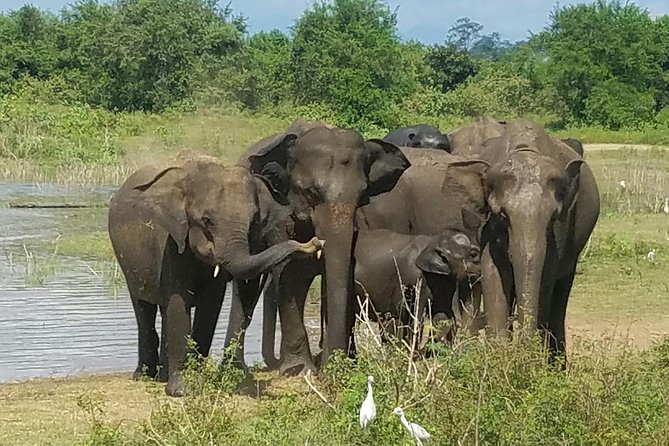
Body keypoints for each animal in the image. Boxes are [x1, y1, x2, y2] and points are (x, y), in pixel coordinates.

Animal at [108, 153, 323, 396]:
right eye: (206, 221)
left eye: (253, 221)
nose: (315, 243)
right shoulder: (170, 241)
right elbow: (179, 301)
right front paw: (182, 391)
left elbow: (210, 305)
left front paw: (197, 381)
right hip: (127, 260)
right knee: (143, 308)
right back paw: (144, 376)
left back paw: (162, 376)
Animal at [233, 119, 411, 374]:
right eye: (311, 192)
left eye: (362, 196)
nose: (331, 363)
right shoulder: (279, 215)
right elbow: (289, 274)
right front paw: (299, 370)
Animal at [476, 120, 599, 358]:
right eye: (502, 216)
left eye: (553, 218)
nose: (523, 350)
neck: (524, 150)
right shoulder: (486, 227)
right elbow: (492, 272)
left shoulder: (560, 231)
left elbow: (546, 276)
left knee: (559, 301)